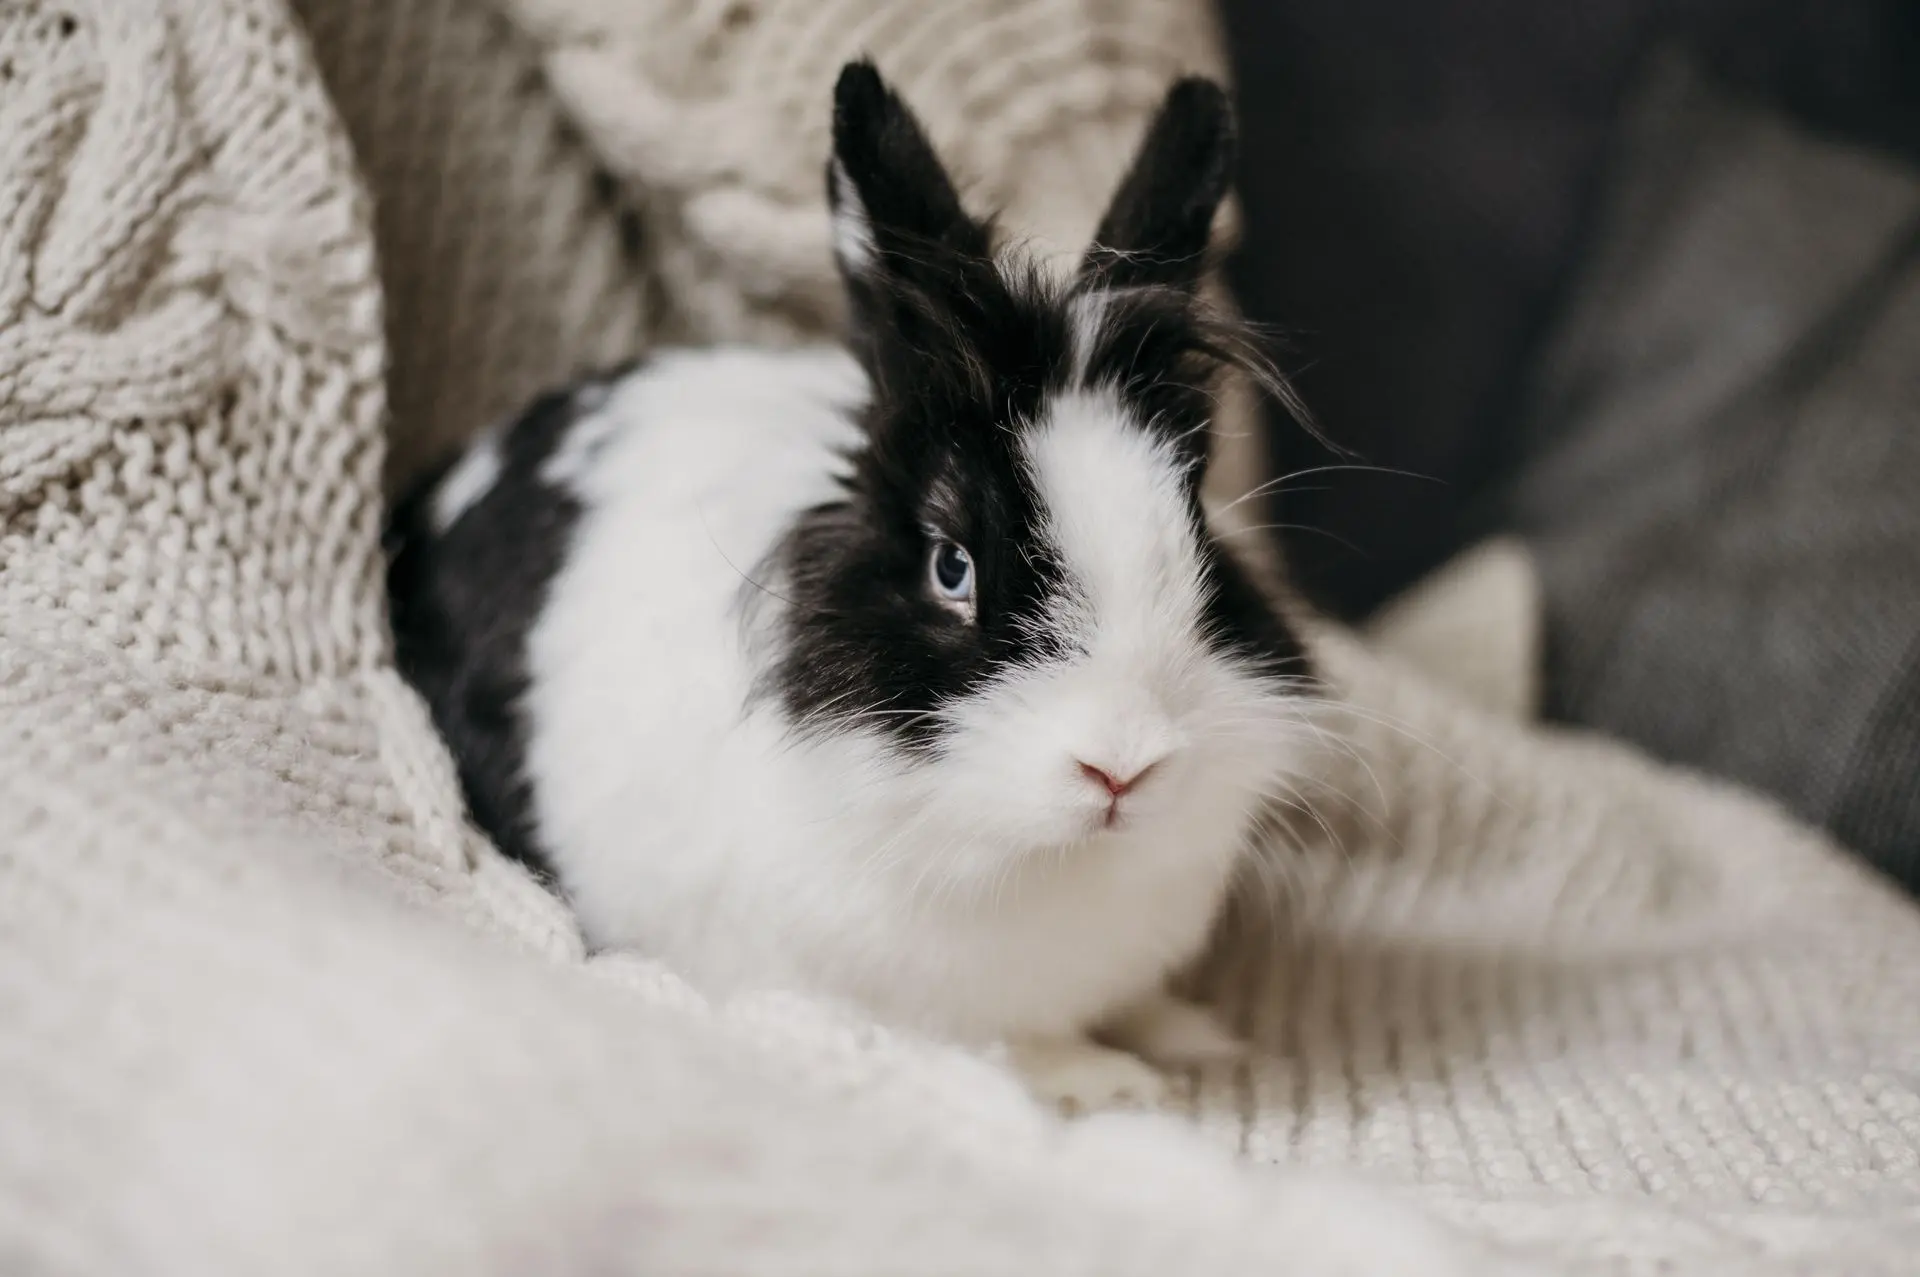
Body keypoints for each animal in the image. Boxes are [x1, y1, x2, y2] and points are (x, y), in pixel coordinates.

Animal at [386, 62, 1324, 1114]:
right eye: (951, 566)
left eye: (1199, 540)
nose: (1123, 767)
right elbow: (1017, 1044)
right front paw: (1110, 1080)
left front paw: (1192, 1033)